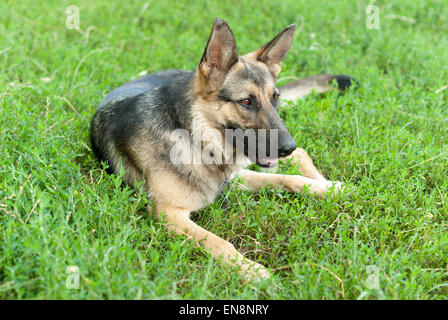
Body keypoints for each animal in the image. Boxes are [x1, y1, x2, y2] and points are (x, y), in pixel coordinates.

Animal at [90, 18, 356, 280]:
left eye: (275, 98)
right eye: (246, 101)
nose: (286, 148)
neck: (194, 137)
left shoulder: (233, 177)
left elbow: (286, 178)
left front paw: (331, 189)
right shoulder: (169, 212)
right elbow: (218, 242)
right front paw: (251, 270)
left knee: (300, 156)